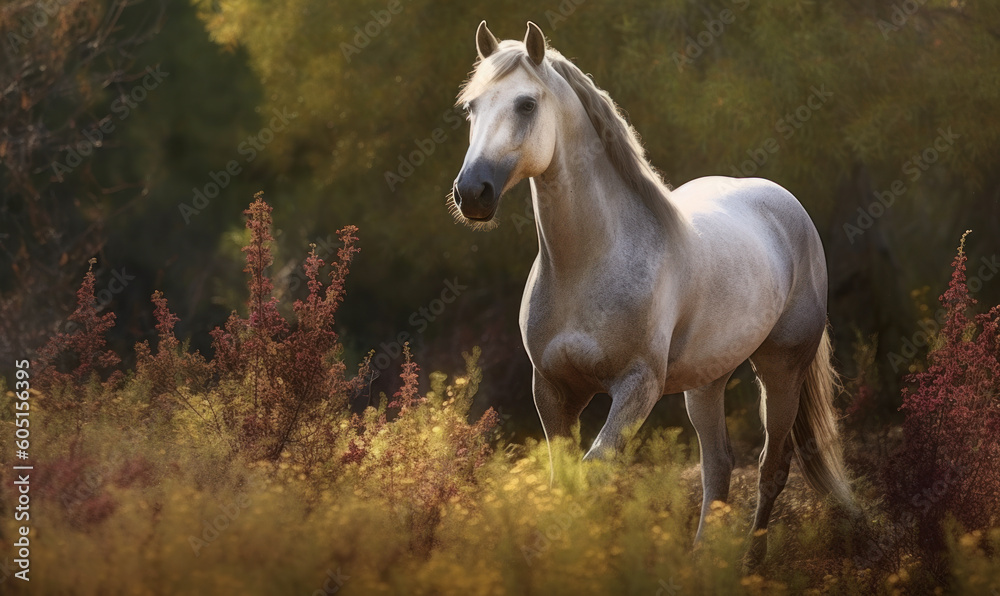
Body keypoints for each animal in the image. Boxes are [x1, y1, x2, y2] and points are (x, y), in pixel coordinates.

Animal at [449, 20, 856, 569]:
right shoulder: (552, 389)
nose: (472, 193)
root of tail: (784, 202)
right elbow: (564, 482)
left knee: (772, 466)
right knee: (718, 466)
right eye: (471, 106)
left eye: (527, 104)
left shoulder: (636, 387)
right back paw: (701, 564)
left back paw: (750, 566)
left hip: (781, 367)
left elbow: (593, 473)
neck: (590, 263)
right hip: (706, 382)